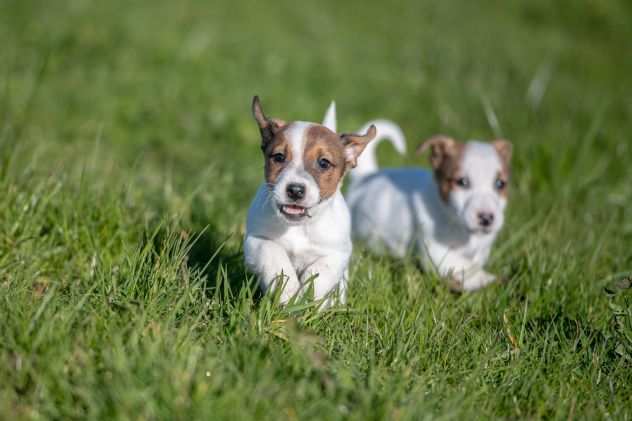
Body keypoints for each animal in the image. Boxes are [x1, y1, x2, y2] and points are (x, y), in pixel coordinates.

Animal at [244, 97, 376, 304]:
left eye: (323, 163)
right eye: (279, 157)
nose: (295, 190)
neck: (298, 226)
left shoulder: (337, 253)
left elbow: (320, 274)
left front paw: (307, 300)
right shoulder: (256, 240)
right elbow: (274, 257)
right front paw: (288, 292)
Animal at [344, 116, 512, 290]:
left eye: (500, 184)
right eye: (462, 182)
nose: (486, 218)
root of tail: (365, 176)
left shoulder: (481, 250)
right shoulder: (436, 252)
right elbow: (465, 267)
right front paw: (487, 279)